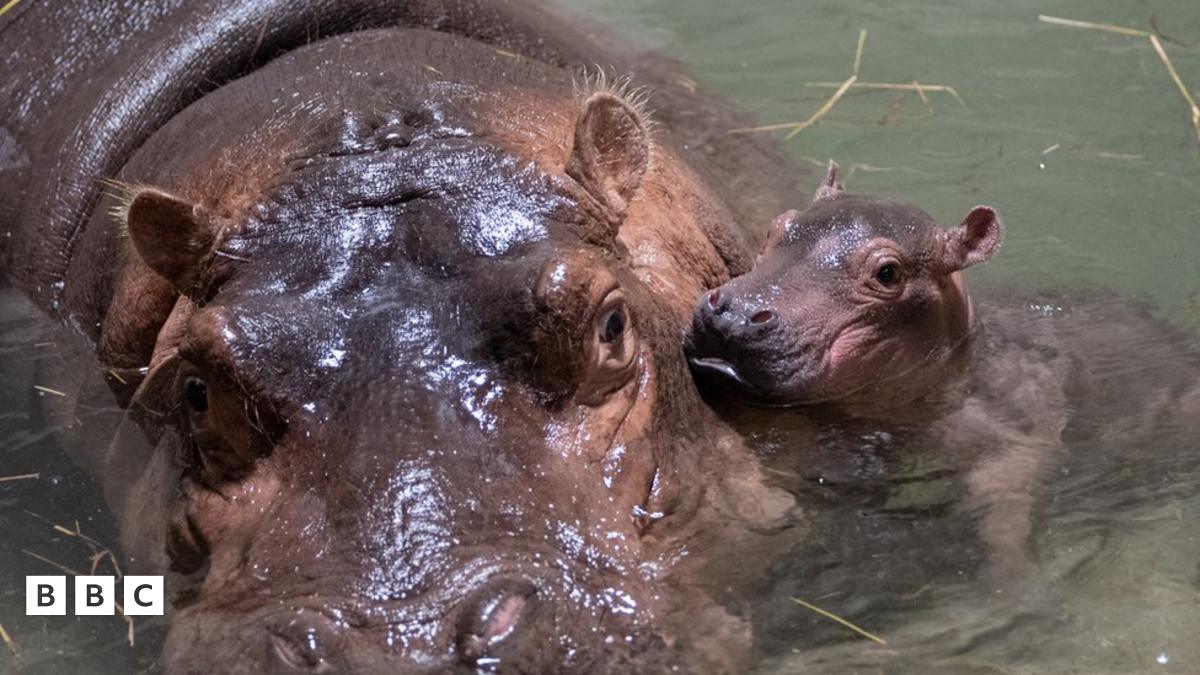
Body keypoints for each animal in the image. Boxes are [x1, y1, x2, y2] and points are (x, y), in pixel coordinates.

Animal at [686, 161, 1200, 586]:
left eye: (888, 273)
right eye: (775, 227)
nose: (737, 313)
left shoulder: (1016, 442)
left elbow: (1006, 515)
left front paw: (1014, 584)